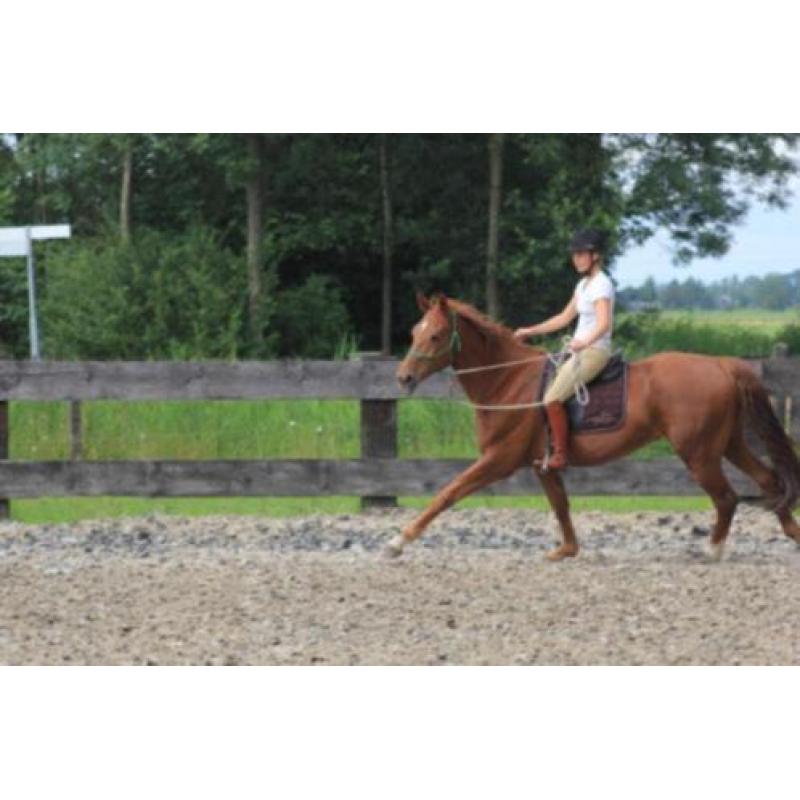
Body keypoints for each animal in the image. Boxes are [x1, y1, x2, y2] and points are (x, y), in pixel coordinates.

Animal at [386, 292, 800, 561]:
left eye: (436, 335)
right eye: (414, 332)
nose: (403, 378)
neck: (508, 380)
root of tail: (721, 365)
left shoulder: (499, 458)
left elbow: (448, 492)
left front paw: (399, 541)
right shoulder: (543, 464)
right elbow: (561, 505)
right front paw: (567, 550)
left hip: (699, 453)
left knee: (727, 497)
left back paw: (713, 550)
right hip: (729, 443)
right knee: (768, 481)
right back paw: (792, 533)